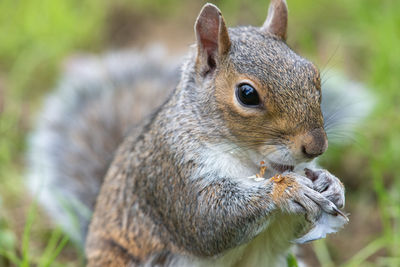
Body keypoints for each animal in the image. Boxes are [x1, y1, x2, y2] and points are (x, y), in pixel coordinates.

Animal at [27, 0, 372, 266]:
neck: (249, 160)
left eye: (312, 73)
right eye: (247, 94)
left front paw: (331, 183)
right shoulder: (169, 172)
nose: (316, 146)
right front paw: (287, 190)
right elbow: (207, 221)